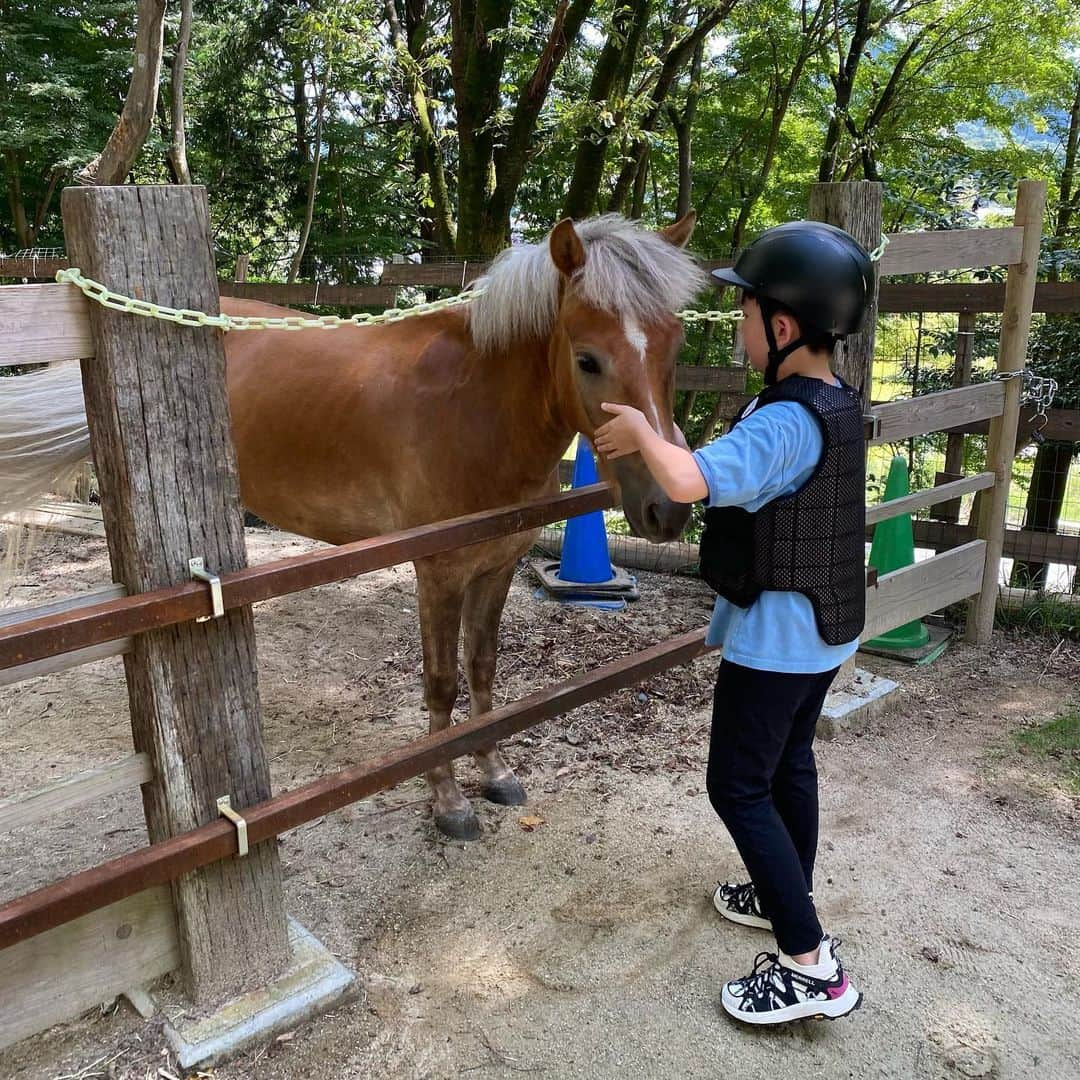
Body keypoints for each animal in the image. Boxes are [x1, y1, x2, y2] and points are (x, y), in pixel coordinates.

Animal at [0, 208, 708, 833]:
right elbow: (442, 683)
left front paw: (494, 771)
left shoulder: (498, 565)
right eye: (587, 359)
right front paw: (449, 801)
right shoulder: (440, 572)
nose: (670, 506)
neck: (476, 406)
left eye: (675, 348)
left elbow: (482, 668)